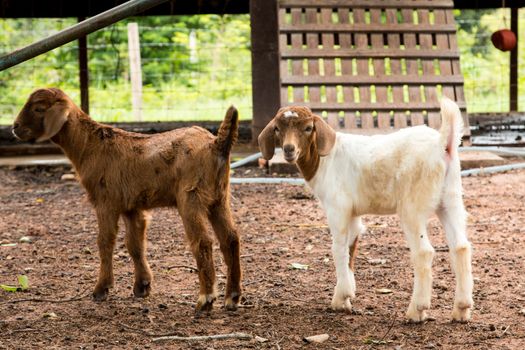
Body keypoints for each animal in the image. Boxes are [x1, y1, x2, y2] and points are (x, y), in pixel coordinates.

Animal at [12, 87, 242, 312]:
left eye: (39, 108)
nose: (15, 128)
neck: (89, 145)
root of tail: (216, 144)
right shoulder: (132, 206)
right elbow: (135, 244)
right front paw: (142, 286)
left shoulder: (106, 201)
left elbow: (105, 241)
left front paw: (101, 289)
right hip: (219, 198)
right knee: (230, 238)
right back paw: (232, 297)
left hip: (191, 196)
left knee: (202, 241)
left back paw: (206, 299)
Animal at [260, 98, 472, 322]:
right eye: (277, 128)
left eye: (308, 128)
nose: (289, 149)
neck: (325, 160)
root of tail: (442, 143)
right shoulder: (353, 213)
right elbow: (351, 248)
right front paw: (344, 297)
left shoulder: (337, 207)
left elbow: (338, 248)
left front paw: (341, 297)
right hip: (450, 199)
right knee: (460, 247)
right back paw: (461, 309)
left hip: (413, 206)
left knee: (423, 252)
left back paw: (417, 310)